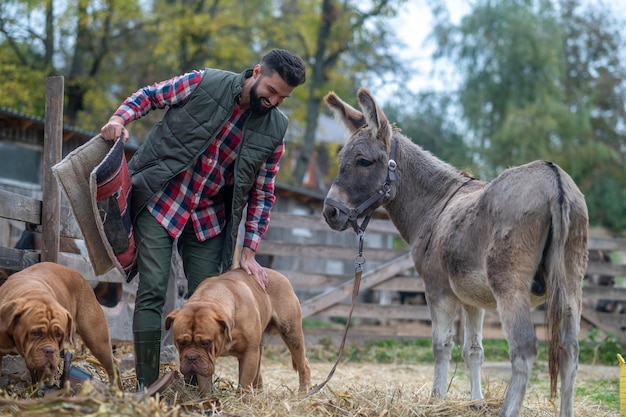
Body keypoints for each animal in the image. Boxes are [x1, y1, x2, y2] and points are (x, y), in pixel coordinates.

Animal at [165, 268, 310, 394]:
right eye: (181, 342)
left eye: (206, 343)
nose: (191, 357)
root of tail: (281, 276)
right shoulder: (206, 363)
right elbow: (204, 385)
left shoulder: (249, 354)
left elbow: (243, 385)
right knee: (258, 374)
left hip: (291, 333)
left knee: (303, 365)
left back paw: (303, 393)